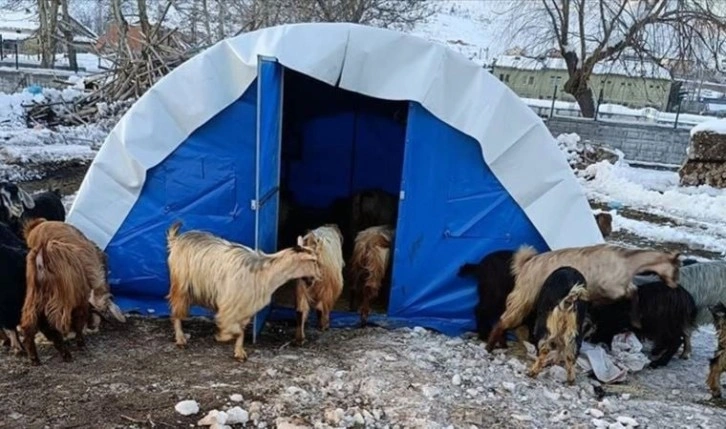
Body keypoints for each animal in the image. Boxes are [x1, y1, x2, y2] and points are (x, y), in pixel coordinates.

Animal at [169, 222, 322, 360]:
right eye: (313, 261)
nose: (318, 277)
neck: (266, 274)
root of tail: (177, 239)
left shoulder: (246, 307)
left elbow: (241, 331)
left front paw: (239, 352)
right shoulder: (230, 305)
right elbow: (234, 328)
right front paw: (222, 336)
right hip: (181, 284)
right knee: (176, 310)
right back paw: (181, 339)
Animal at [490, 242, 684, 350]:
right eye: (677, 268)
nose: (675, 285)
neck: (627, 262)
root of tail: (526, 263)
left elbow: (633, 291)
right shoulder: (611, 288)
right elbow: (631, 292)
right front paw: (636, 321)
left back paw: (501, 343)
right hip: (525, 295)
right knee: (506, 318)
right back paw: (492, 345)